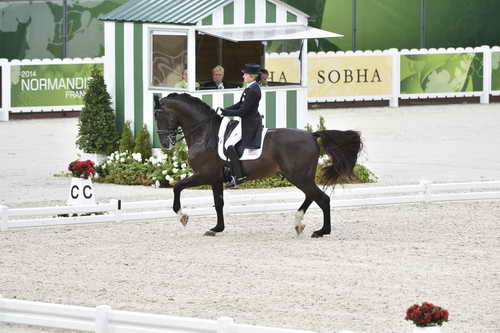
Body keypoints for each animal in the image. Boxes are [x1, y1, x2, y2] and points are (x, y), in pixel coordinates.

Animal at [154, 93, 362, 237]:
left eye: (158, 115)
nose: (165, 144)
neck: (204, 133)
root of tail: (311, 135)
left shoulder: (204, 174)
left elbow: (177, 187)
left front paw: (182, 216)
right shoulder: (215, 178)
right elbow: (218, 203)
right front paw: (217, 228)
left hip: (298, 176)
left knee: (322, 199)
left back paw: (321, 231)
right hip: (301, 176)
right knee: (312, 196)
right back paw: (298, 223)